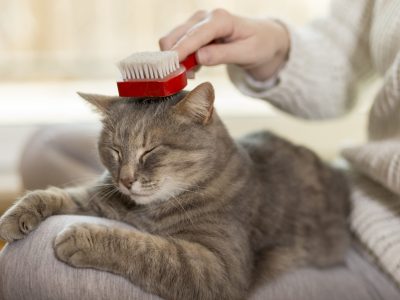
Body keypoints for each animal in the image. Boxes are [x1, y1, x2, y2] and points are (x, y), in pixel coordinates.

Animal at [0, 82, 350, 300]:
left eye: (150, 150)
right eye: (114, 150)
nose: (125, 180)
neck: (147, 210)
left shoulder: (218, 267)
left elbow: (150, 250)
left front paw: (83, 237)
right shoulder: (100, 197)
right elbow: (56, 194)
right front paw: (16, 216)